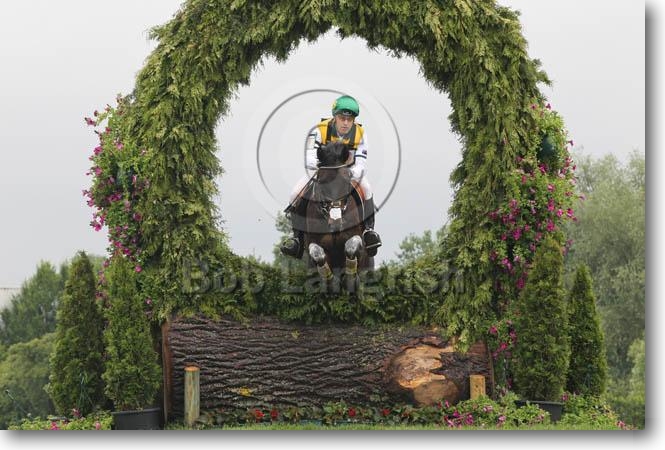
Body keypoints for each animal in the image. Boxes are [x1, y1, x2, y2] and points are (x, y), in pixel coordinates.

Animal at [297, 141, 375, 290]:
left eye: (346, 181)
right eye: (322, 182)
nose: (336, 223)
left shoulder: (357, 240)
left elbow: (351, 247)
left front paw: (350, 279)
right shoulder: (312, 244)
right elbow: (318, 255)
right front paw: (330, 281)